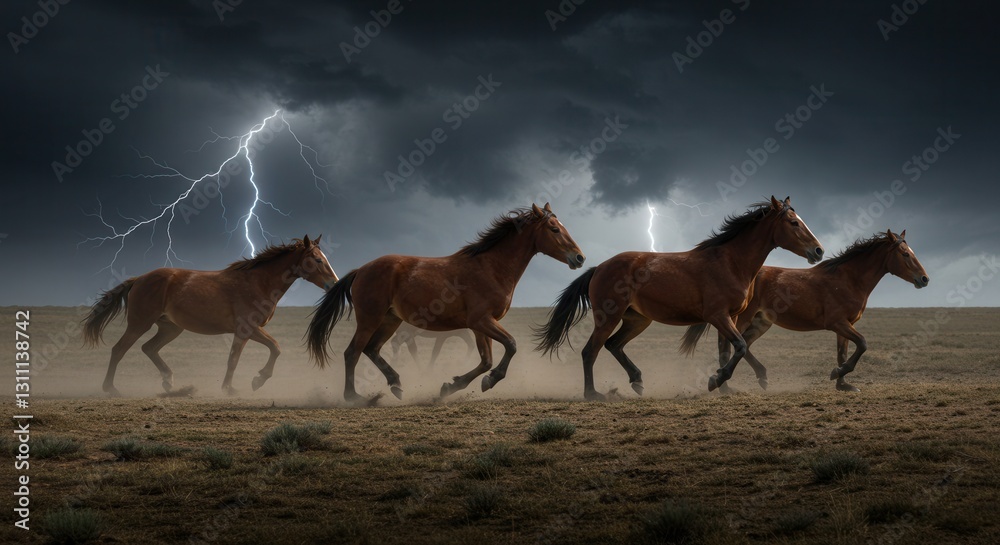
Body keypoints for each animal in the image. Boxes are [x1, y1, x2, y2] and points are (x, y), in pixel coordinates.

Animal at [82, 235, 338, 396]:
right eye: (317, 259)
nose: (334, 284)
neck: (258, 282)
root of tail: (139, 279)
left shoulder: (246, 332)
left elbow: (241, 357)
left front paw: (236, 386)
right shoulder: (247, 328)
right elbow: (267, 350)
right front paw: (251, 382)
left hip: (170, 328)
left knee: (149, 348)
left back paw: (168, 381)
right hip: (140, 323)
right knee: (119, 349)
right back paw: (111, 388)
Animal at [306, 203, 585, 403]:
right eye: (554, 229)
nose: (579, 258)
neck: (491, 267)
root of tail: (360, 270)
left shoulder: (479, 325)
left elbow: (486, 360)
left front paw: (451, 386)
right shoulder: (481, 320)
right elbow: (511, 345)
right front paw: (489, 380)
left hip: (390, 320)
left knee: (371, 349)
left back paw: (396, 384)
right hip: (370, 318)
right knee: (352, 352)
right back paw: (355, 397)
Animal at [535, 196, 824, 400]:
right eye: (794, 223)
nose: (818, 251)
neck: (730, 262)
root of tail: (598, 268)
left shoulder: (729, 317)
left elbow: (727, 350)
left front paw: (725, 388)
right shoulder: (717, 316)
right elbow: (740, 346)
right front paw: (715, 381)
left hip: (637, 320)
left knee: (613, 345)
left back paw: (637, 381)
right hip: (608, 317)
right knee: (590, 350)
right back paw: (593, 394)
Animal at [685, 229, 928, 392]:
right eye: (905, 254)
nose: (924, 279)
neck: (848, 279)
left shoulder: (845, 325)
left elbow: (843, 353)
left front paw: (843, 384)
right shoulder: (837, 323)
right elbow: (862, 344)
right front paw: (837, 373)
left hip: (761, 321)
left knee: (744, 344)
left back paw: (761, 377)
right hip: (741, 317)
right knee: (729, 344)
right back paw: (721, 384)